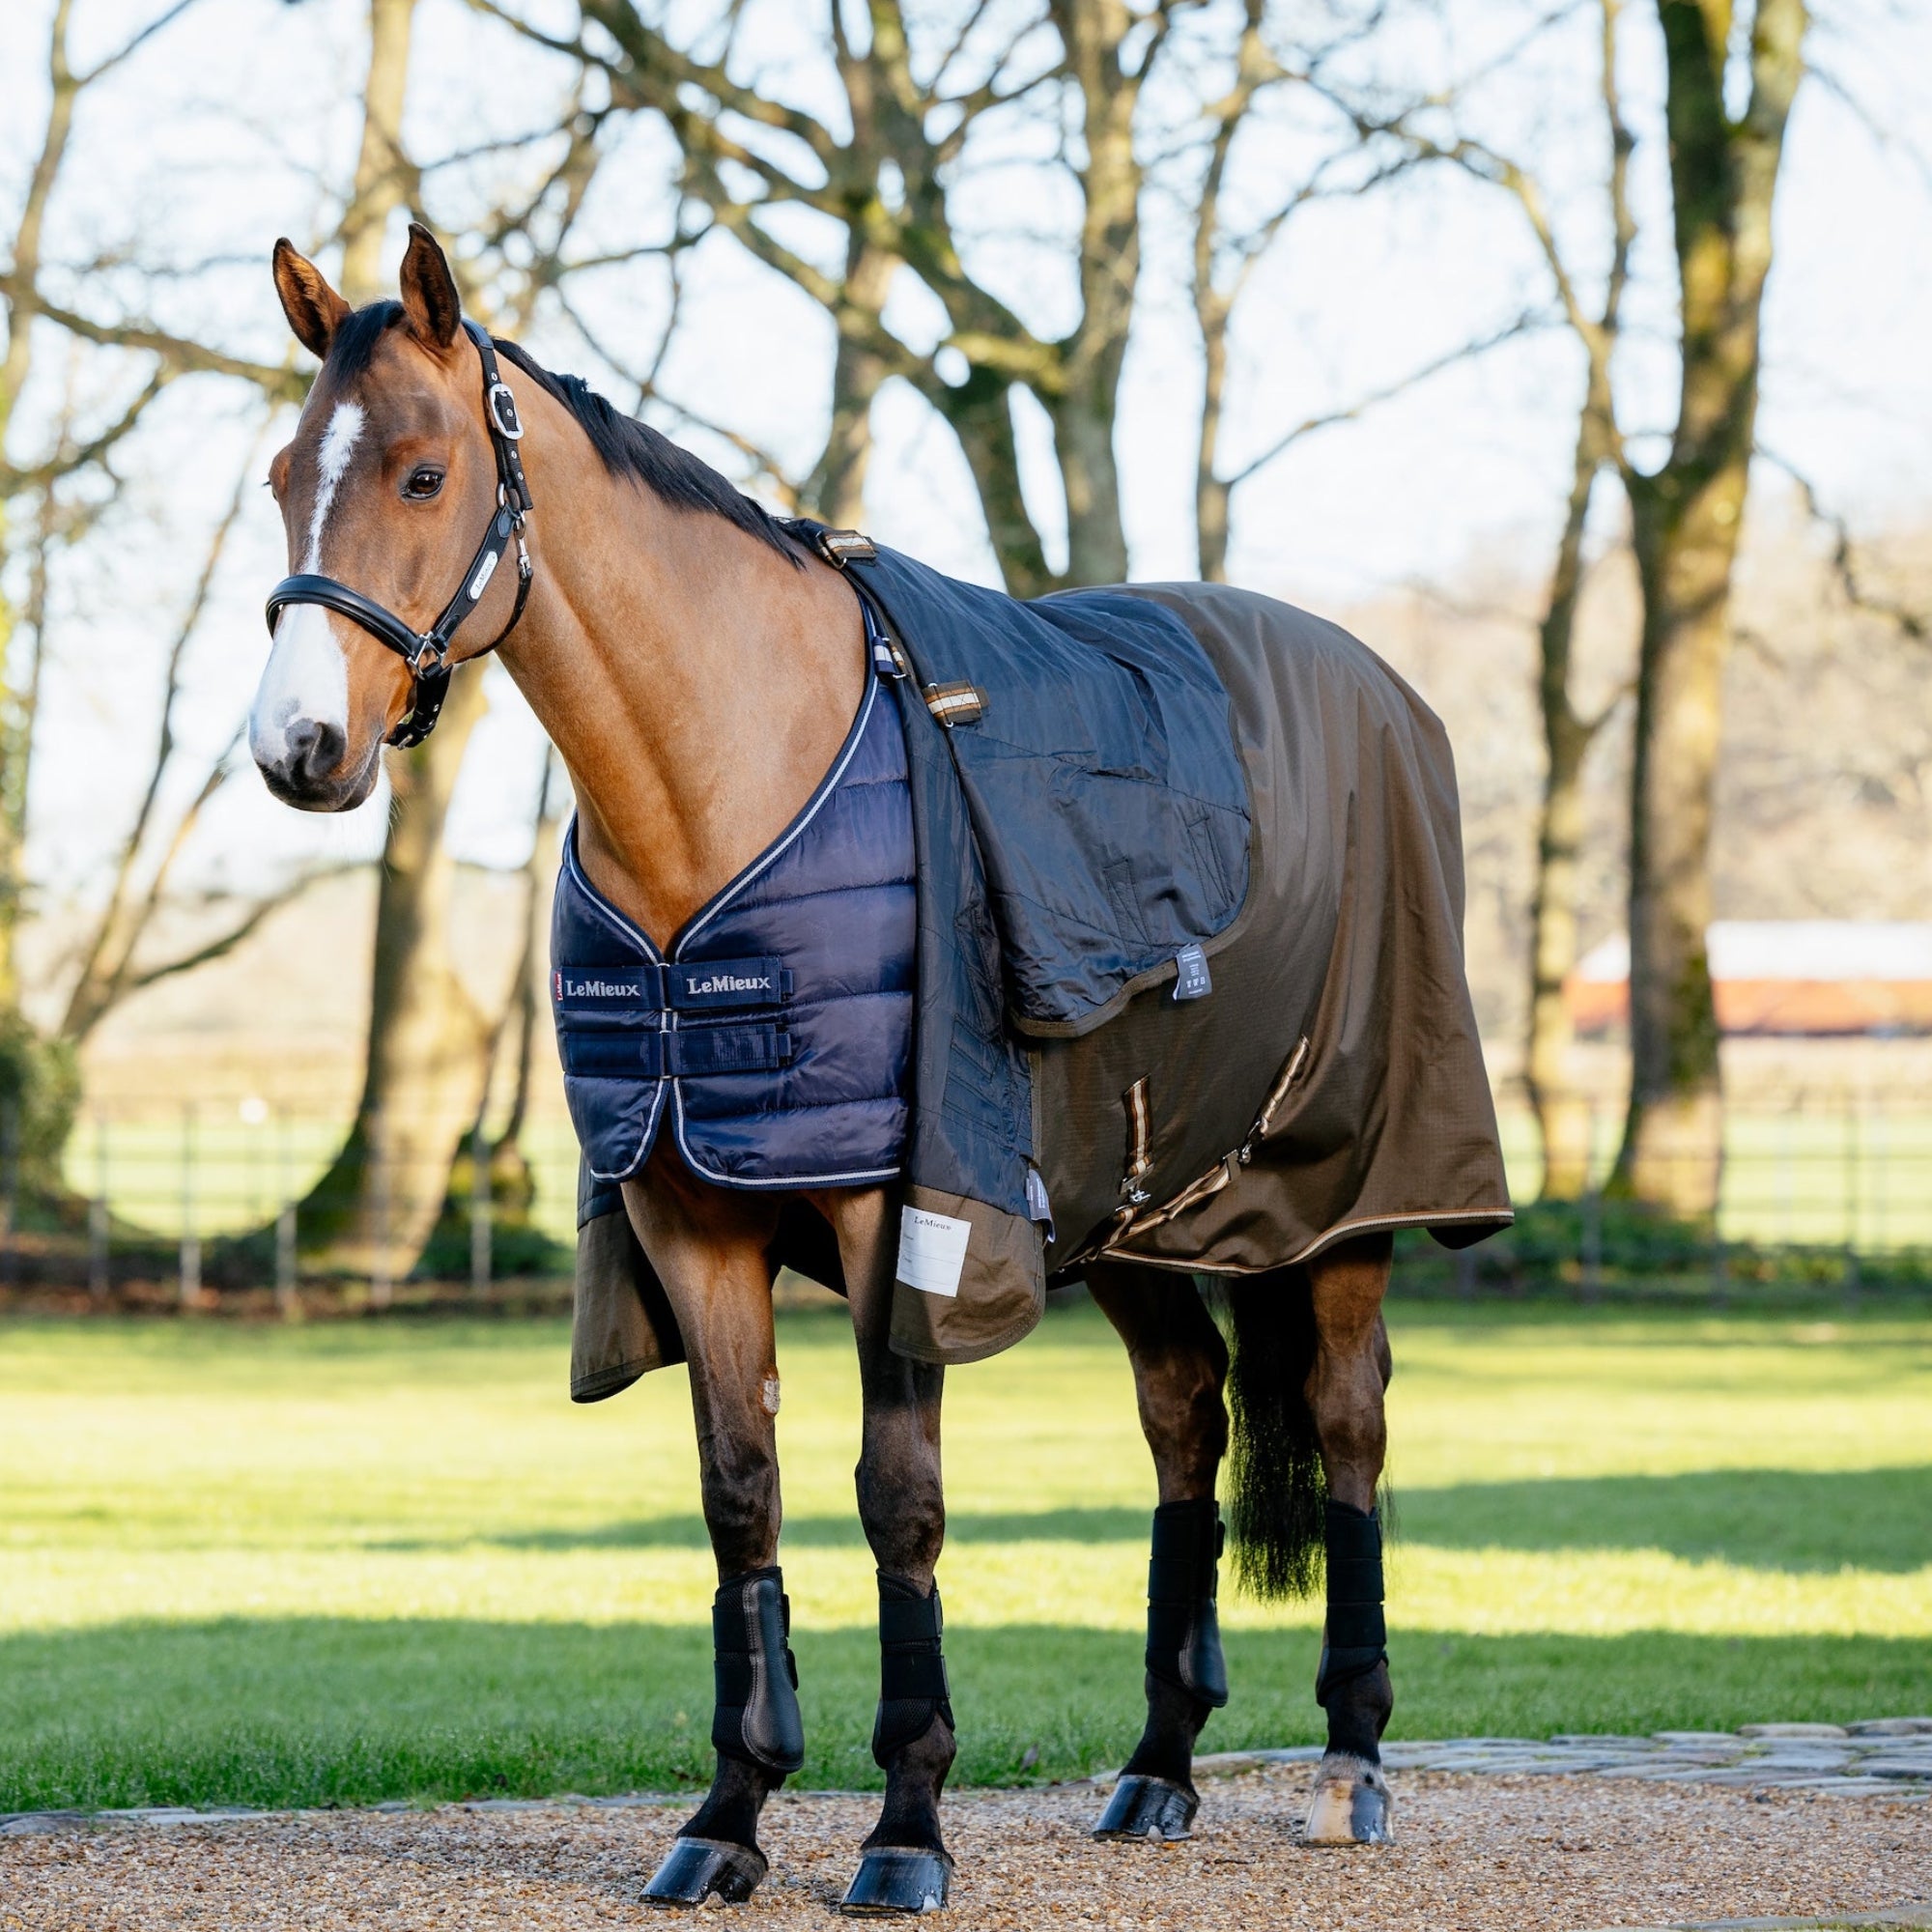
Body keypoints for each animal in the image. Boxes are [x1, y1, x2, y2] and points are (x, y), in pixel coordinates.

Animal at [249, 223, 1503, 1913]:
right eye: (280, 476)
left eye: (426, 474)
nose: (297, 747)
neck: (726, 784)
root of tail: (1381, 689)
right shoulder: (686, 1215)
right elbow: (741, 1497)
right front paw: (728, 1812)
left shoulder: (899, 1213)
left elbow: (896, 1501)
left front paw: (905, 1824)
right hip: (1131, 1217)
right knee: (1188, 1417)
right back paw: (1158, 1767)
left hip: (1346, 1203)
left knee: (1353, 1425)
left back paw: (1351, 1763)